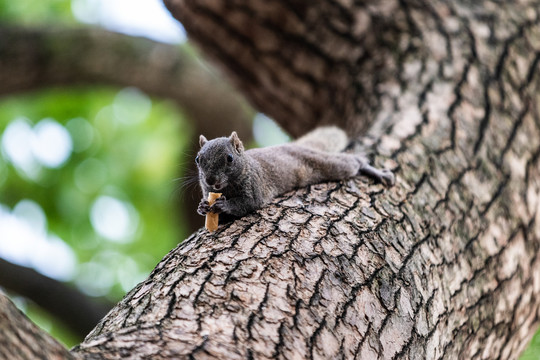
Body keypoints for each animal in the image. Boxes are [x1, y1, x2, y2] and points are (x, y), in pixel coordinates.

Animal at [196, 126, 394, 219]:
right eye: (198, 159)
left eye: (229, 158)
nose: (210, 180)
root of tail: (295, 145)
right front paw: (202, 207)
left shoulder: (254, 186)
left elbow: (248, 203)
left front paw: (224, 205)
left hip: (329, 165)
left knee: (354, 163)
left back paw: (378, 173)